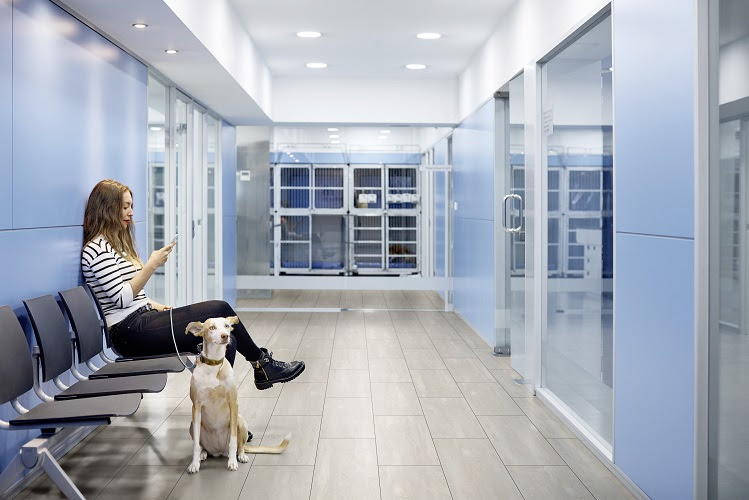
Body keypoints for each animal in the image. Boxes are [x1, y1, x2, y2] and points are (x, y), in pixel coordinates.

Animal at [186, 316, 288, 472]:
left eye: (227, 326)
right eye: (212, 328)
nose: (225, 336)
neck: (214, 365)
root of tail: (219, 451)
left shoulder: (233, 403)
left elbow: (233, 441)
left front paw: (232, 463)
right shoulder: (196, 407)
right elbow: (196, 444)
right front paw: (194, 464)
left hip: (240, 421)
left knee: (240, 446)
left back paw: (240, 456)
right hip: (192, 425)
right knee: (202, 446)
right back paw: (203, 454)